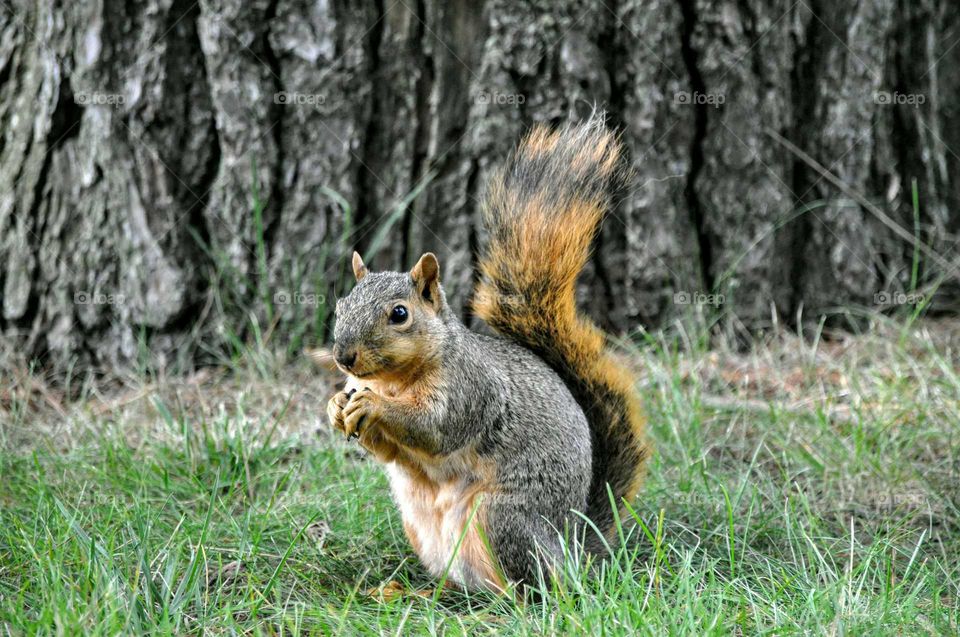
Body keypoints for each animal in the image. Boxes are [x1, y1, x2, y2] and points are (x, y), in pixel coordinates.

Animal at [324, 115, 648, 593]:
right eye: (341, 306)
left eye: (399, 314)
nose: (344, 357)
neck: (394, 379)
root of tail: (571, 548)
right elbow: (388, 451)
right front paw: (335, 405)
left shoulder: (470, 389)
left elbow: (435, 428)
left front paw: (374, 405)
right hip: (420, 529)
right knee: (465, 585)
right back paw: (412, 591)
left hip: (503, 518)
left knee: (531, 587)